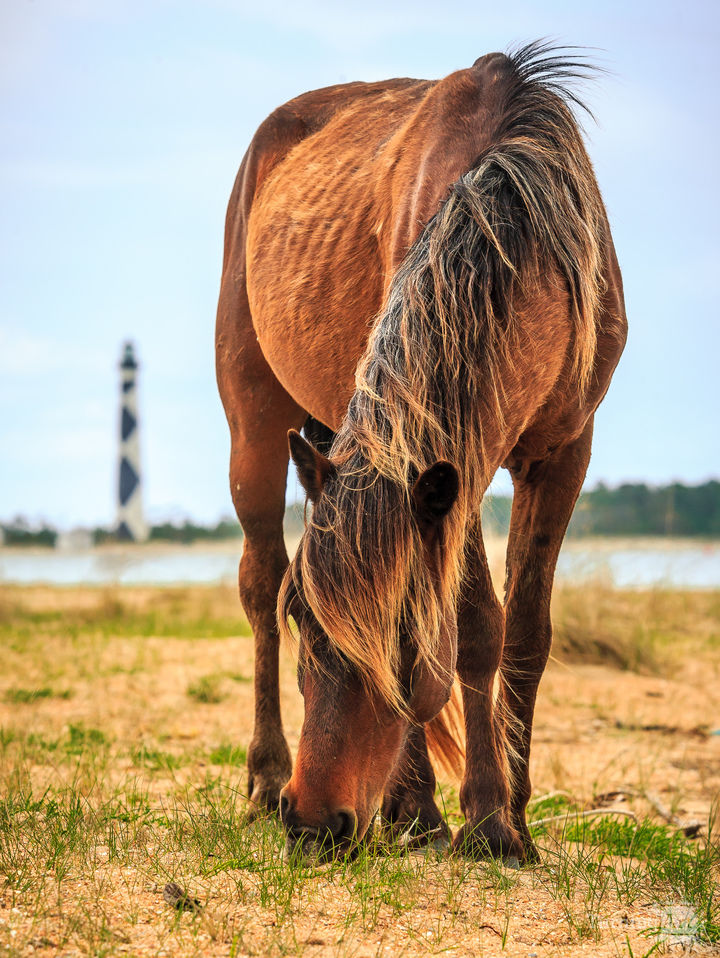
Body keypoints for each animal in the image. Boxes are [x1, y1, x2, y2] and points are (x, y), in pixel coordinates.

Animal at [214, 41, 624, 864]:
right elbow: (475, 628)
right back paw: (289, 781)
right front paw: (480, 817)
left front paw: (513, 815)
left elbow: (524, 631)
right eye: (304, 618)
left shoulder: (565, 453)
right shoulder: (453, 466)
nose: (311, 824)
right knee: (258, 580)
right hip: (254, 425)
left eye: (402, 635)